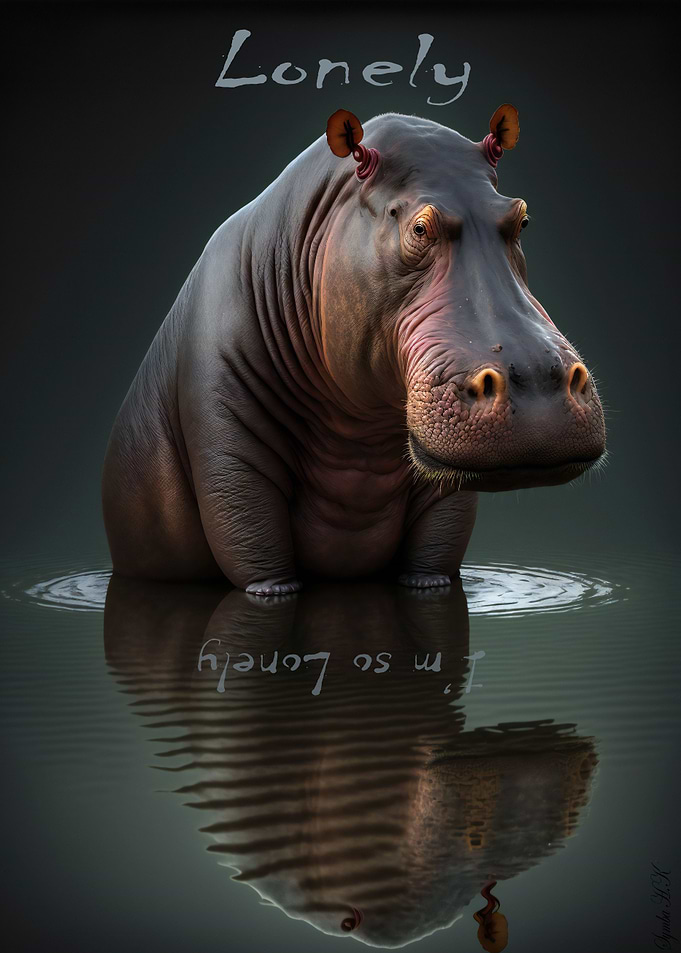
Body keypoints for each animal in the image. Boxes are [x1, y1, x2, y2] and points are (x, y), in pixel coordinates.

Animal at [102, 105, 606, 594]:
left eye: (521, 218)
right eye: (419, 229)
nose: (535, 381)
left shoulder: (444, 500)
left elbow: (436, 550)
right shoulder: (229, 451)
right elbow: (252, 538)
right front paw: (274, 591)